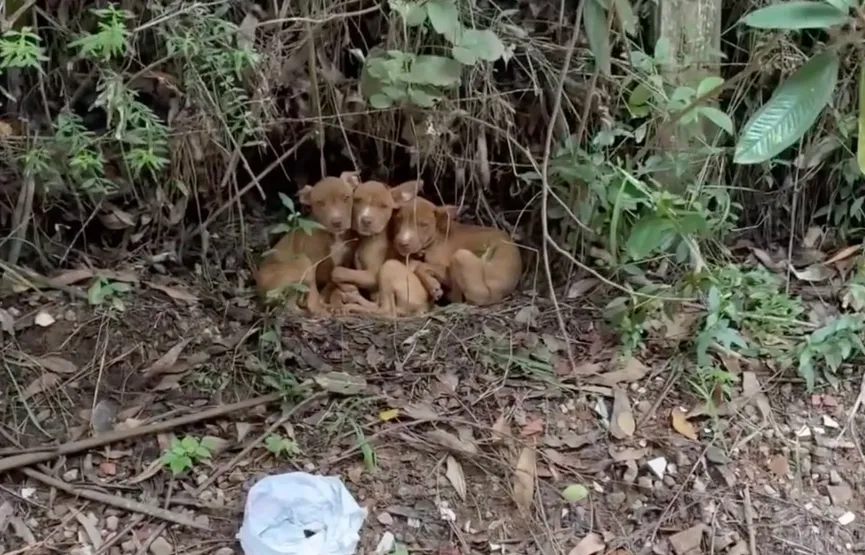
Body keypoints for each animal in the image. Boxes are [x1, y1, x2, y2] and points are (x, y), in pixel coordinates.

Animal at [251, 172, 360, 314]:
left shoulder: (344, 262)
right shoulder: (312, 264)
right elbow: (314, 292)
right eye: (320, 203)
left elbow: (335, 284)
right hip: (301, 263)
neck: (334, 236)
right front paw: (319, 308)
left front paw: (336, 303)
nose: (337, 222)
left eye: (346, 198)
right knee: (292, 304)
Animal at [392, 194, 520, 308]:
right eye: (399, 220)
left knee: (466, 298)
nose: (402, 243)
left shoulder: (446, 272)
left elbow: (421, 267)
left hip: (461, 257)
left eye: (423, 224)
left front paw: (433, 286)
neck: (437, 235)